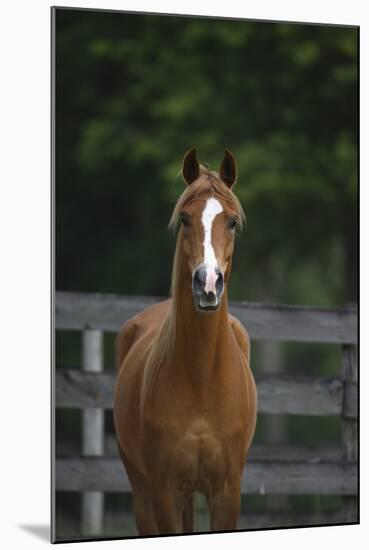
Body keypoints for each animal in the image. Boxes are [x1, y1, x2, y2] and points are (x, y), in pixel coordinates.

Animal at [113, 149, 258, 536]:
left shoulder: (227, 493)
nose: (207, 285)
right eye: (184, 219)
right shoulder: (164, 491)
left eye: (232, 222)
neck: (201, 379)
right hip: (142, 489)